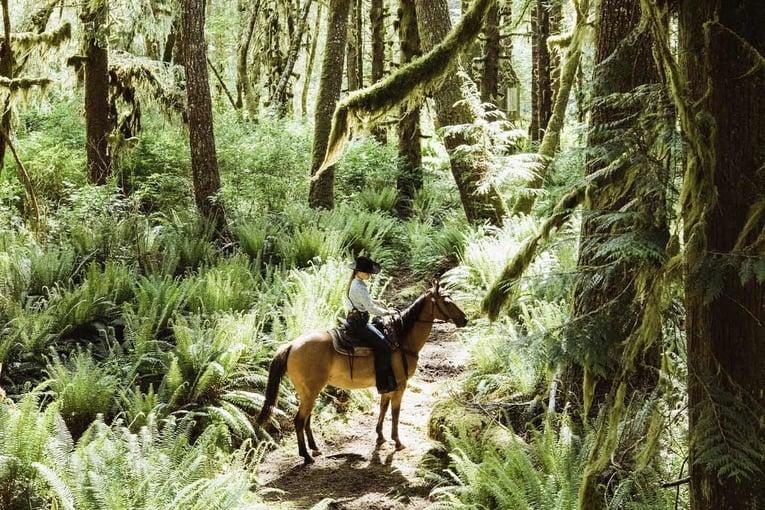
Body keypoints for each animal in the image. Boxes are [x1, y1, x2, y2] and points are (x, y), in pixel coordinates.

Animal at [258, 280, 466, 464]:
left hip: (309, 392)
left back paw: (315, 449)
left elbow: (383, 408)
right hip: (310, 392)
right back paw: (306, 456)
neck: (401, 339)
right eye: (447, 301)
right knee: (299, 420)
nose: (464, 319)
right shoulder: (400, 385)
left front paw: (380, 437)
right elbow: (395, 412)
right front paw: (397, 442)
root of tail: (292, 345)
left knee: (306, 419)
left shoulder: (388, 384)